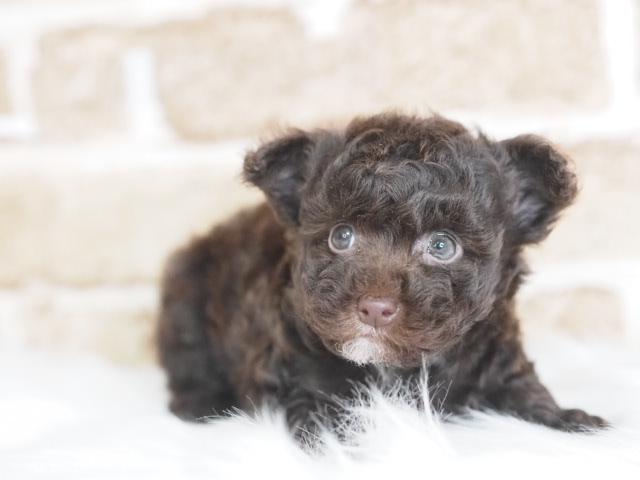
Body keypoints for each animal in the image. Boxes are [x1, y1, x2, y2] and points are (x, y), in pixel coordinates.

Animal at [157, 113, 607, 442]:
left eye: (442, 246)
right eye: (341, 236)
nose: (374, 308)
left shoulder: (498, 356)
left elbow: (526, 391)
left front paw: (568, 419)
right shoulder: (292, 375)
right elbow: (320, 414)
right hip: (186, 294)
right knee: (189, 359)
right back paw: (201, 405)